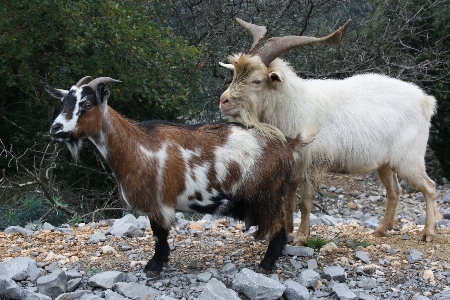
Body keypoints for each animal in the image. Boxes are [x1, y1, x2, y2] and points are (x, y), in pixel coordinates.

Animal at [45, 77, 304, 276]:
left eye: (87, 104)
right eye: (62, 102)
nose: (55, 129)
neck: (136, 145)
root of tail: (287, 144)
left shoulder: (159, 201)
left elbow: (159, 235)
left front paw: (154, 266)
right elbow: (158, 234)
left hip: (267, 195)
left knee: (280, 227)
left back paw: (266, 264)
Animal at [220, 17, 438, 245]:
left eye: (257, 80)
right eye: (235, 74)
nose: (223, 101)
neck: (294, 105)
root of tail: (425, 101)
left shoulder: (315, 164)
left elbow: (305, 203)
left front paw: (301, 237)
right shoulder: (293, 168)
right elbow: (288, 202)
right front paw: (287, 231)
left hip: (409, 159)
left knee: (429, 187)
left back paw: (428, 233)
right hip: (385, 163)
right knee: (395, 191)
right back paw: (381, 230)